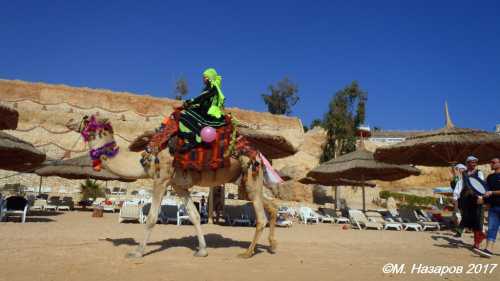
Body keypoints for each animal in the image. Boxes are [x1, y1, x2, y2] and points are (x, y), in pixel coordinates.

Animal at [67, 114, 284, 258]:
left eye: (87, 120)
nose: (69, 121)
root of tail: (259, 153)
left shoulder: (161, 179)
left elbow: (152, 218)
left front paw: (137, 252)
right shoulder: (179, 186)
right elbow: (195, 216)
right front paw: (202, 250)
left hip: (251, 175)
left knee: (261, 218)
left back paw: (248, 252)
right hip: (244, 183)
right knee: (271, 206)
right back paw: (272, 245)